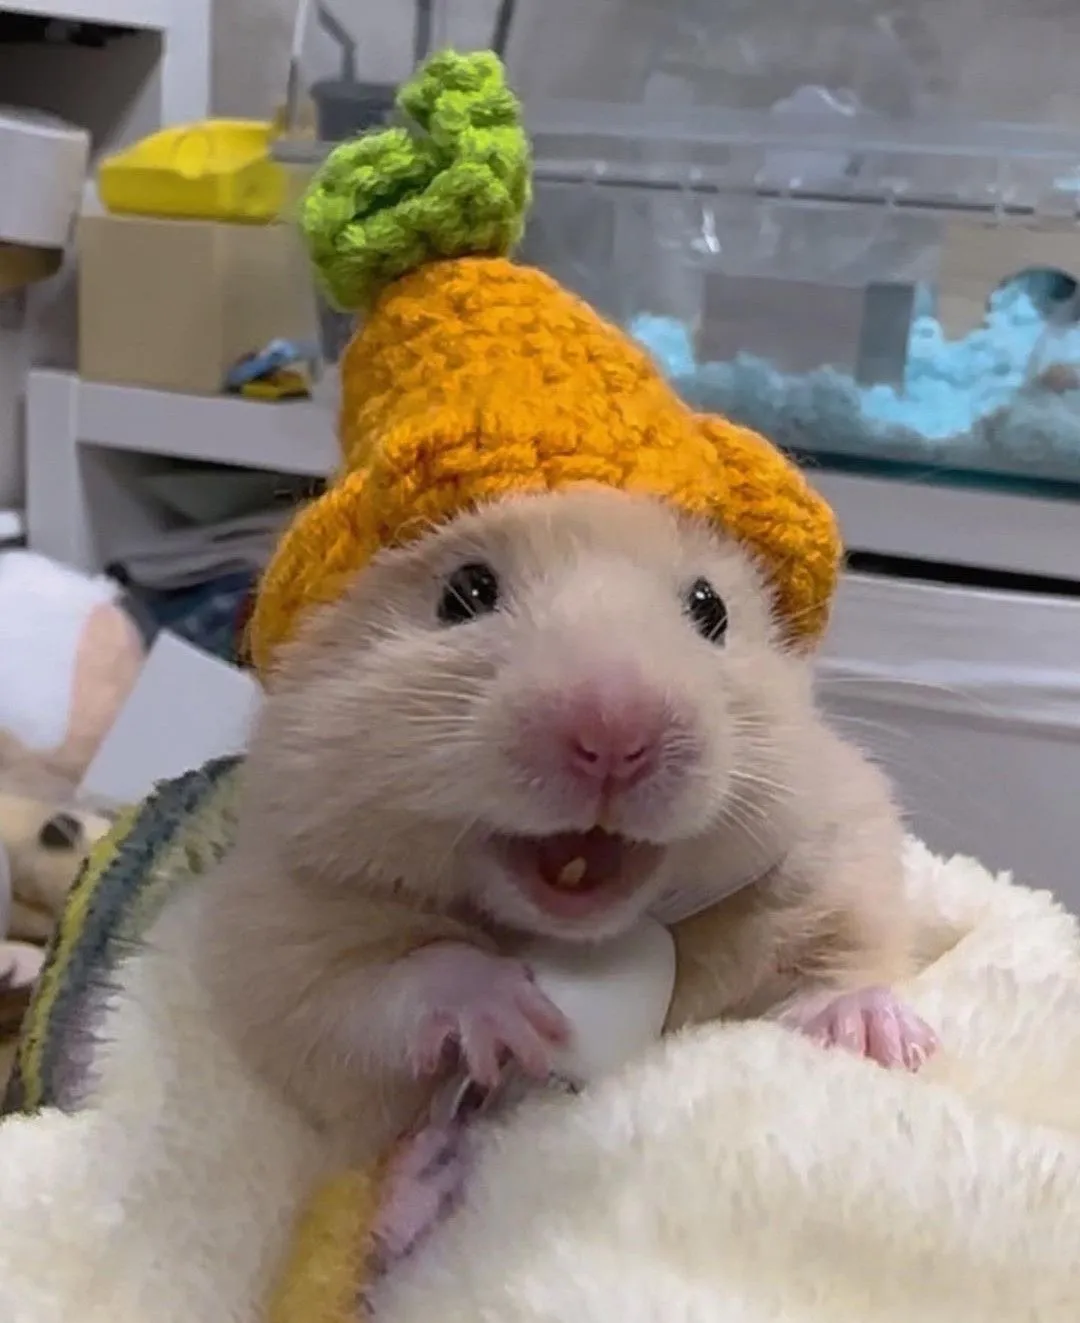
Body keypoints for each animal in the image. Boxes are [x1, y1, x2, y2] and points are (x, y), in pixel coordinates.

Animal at [174, 485, 934, 1157]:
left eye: (710, 608)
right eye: (466, 593)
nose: (615, 733)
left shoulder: (838, 842)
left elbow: (852, 944)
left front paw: (874, 1037)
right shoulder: (274, 933)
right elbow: (368, 991)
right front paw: (510, 1012)